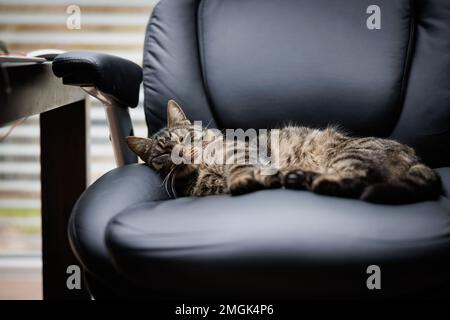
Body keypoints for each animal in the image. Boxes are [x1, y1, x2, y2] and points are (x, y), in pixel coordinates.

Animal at [127, 100, 442, 205]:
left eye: (183, 138)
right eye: (163, 155)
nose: (181, 153)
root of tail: (416, 156)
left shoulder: (242, 150)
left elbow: (239, 167)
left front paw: (243, 180)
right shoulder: (207, 186)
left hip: (348, 156)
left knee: (358, 180)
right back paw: (297, 178)